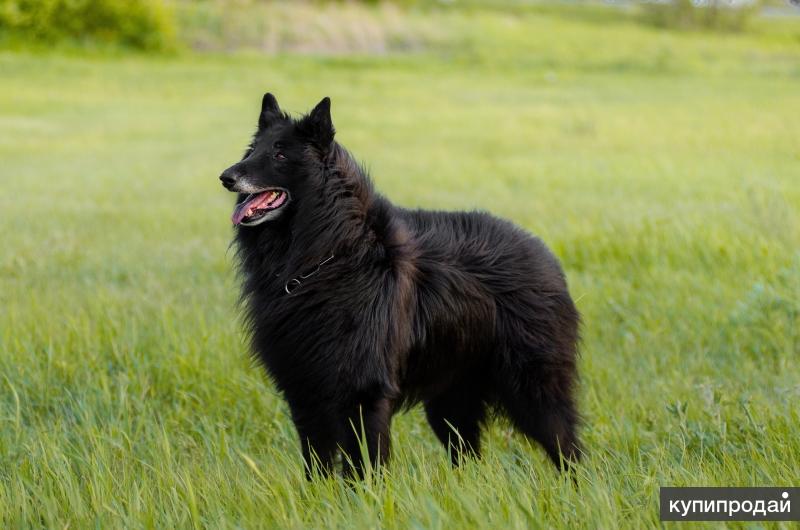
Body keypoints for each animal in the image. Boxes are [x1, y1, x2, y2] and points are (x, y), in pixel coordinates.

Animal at [219, 95, 580, 478]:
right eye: (252, 150)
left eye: (280, 154)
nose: (226, 177)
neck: (329, 254)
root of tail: (545, 254)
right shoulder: (305, 393)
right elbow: (317, 467)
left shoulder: (364, 394)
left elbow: (364, 468)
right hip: (451, 401)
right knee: (468, 456)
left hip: (534, 393)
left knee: (569, 451)